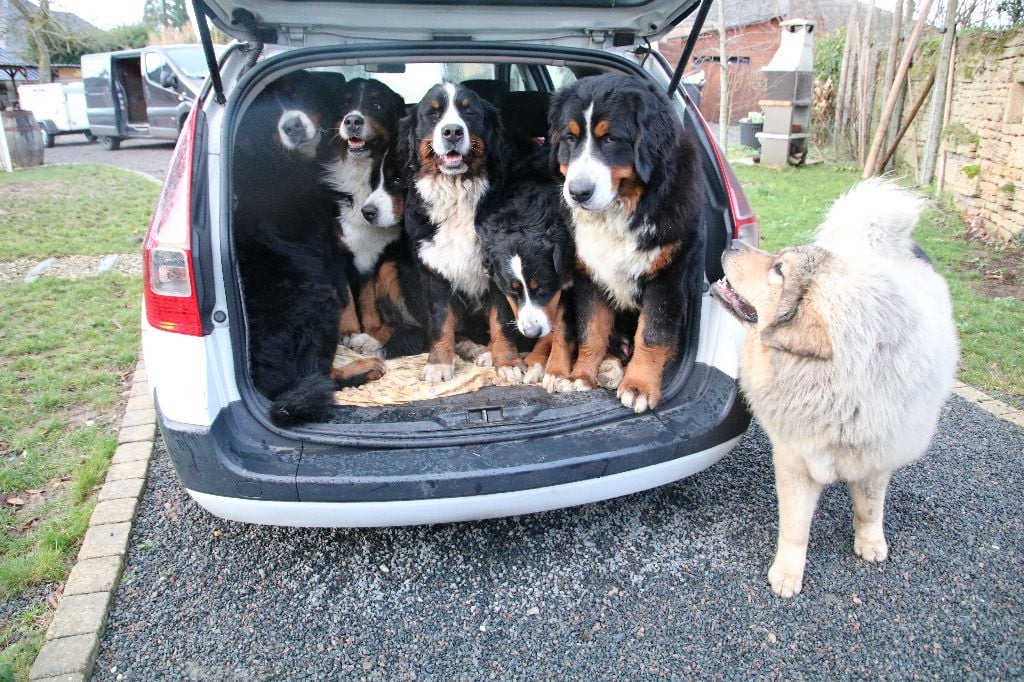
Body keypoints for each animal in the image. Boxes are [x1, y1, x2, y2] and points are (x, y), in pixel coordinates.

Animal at [548, 72, 708, 411]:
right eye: (570, 138)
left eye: (611, 139)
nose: (578, 192)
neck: (622, 210)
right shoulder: (588, 275)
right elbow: (591, 329)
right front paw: (582, 375)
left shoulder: (668, 277)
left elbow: (653, 334)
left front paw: (640, 385)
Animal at [712, 179, 958, 593]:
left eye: (779, 270)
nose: (731, 242)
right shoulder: (795, 458)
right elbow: (795, 526)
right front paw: (788, 572)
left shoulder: (877, 457)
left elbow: (870, 506)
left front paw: (870, 540)